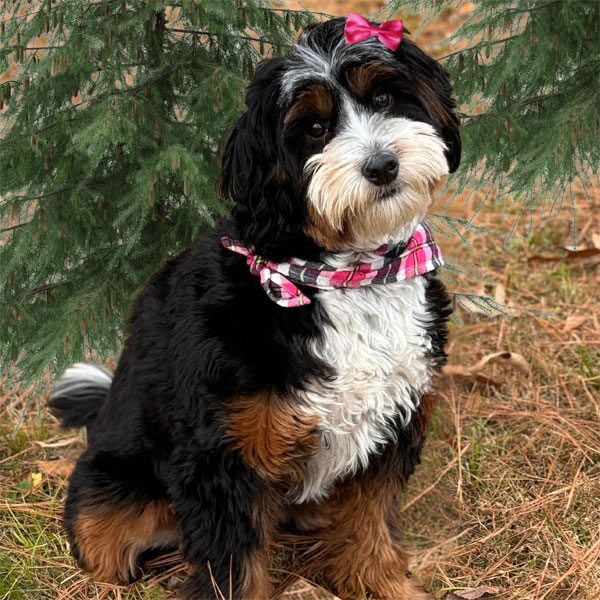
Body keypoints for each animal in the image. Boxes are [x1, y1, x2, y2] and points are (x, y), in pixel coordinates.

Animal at [49, 16, 460, 600]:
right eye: (314, 129)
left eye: (383, 97)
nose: (383, 166)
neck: (344, 277)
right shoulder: (223, 458)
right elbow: (235, 567)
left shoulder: (391, 425)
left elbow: (369, 524)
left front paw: (382, 585)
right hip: (114, 495)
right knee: (101, 535)